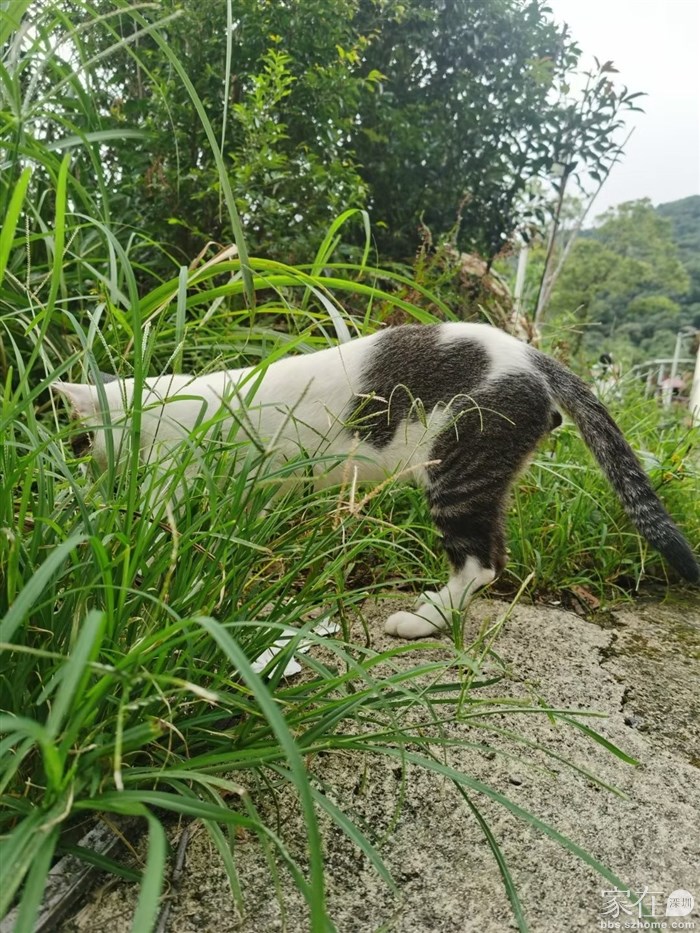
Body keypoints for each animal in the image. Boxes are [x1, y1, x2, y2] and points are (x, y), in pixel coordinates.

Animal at [52, 322, 699, 638]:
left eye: (80, 442)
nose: (77, 464)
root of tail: (531, 356)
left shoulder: (173, 473)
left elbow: (153, 523)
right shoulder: (255, 490)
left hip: (457, 468)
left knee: (483, 562)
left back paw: (425, 621)